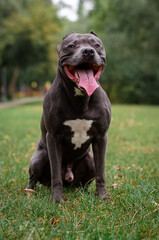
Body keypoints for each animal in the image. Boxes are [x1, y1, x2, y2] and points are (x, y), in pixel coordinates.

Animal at [26, 31, 111, 202]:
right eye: (71, 46)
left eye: (96, 45)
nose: (88, 51)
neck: (81, 98)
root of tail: (69, 177)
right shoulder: (53, 137)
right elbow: (56, 173)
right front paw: (56, 199)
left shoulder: (101, 137)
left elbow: (101, 171)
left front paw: (102, 195)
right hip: (39, 157)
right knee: (34, 178)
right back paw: (29, 192)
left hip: (89, 159)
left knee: (85, 180)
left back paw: (85, 192)